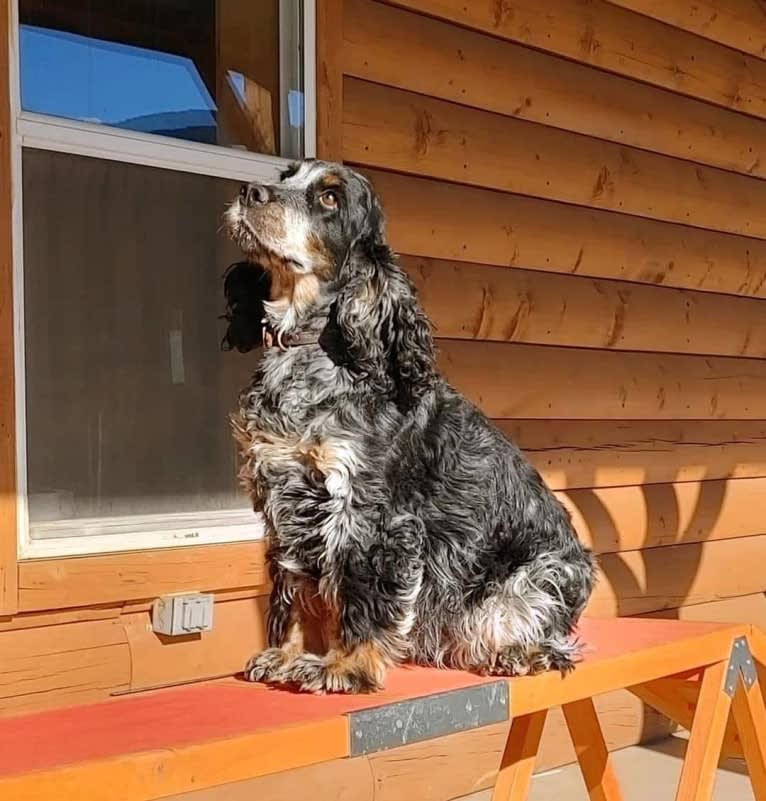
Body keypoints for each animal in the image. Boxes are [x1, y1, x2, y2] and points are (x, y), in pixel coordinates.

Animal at [224, 159, 600, 692]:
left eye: (330, 198)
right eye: (286, 176)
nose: (249, 192)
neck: (313, 352)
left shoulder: (370, 515)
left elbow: (364, 595)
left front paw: (345, 666)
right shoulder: (284, 500)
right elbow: (292, 587)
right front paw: (284, 654)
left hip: (539, 576)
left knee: (552, 639)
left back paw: (518, 653)